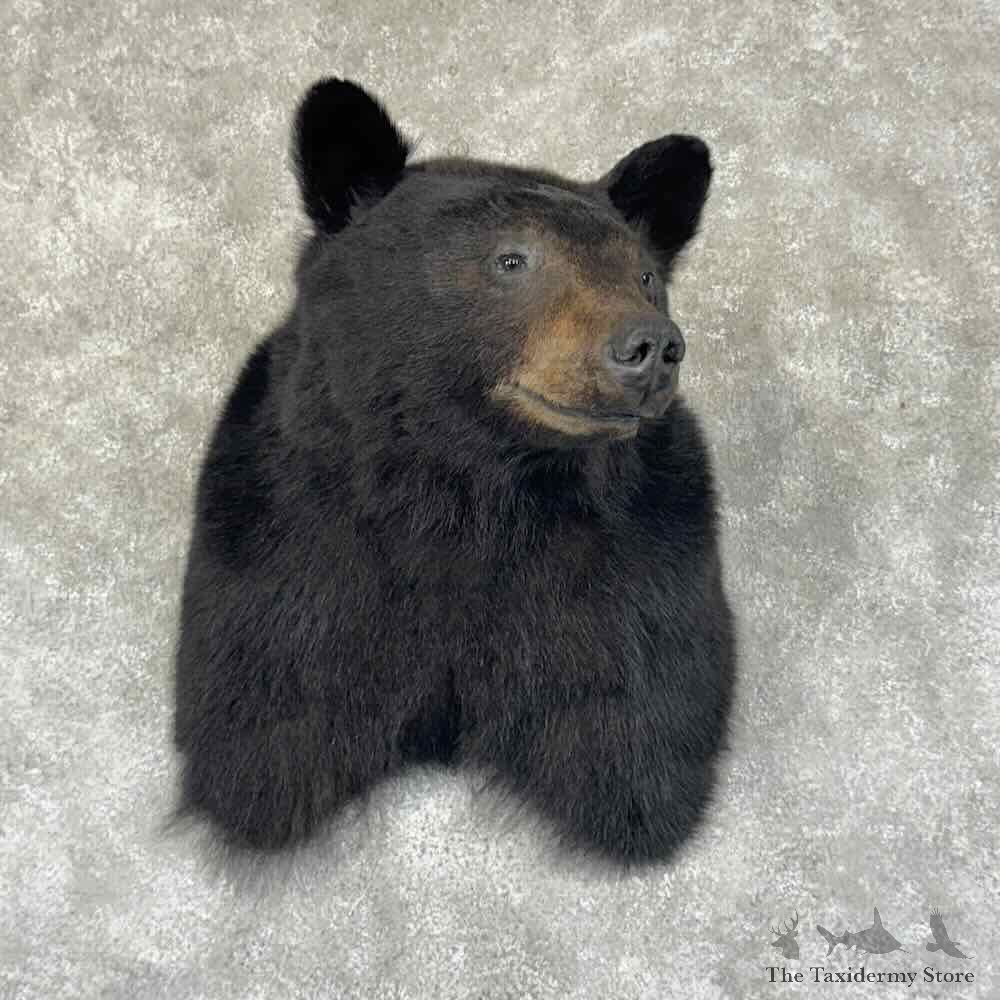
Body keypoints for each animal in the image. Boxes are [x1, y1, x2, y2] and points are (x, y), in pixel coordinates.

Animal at [173, 77, 736, 866]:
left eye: (646, 274)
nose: (650, 345)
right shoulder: (285, 540)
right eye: (512, 259)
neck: (469, 485)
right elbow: (268, 713)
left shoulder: (643, 562)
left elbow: (635, 717)